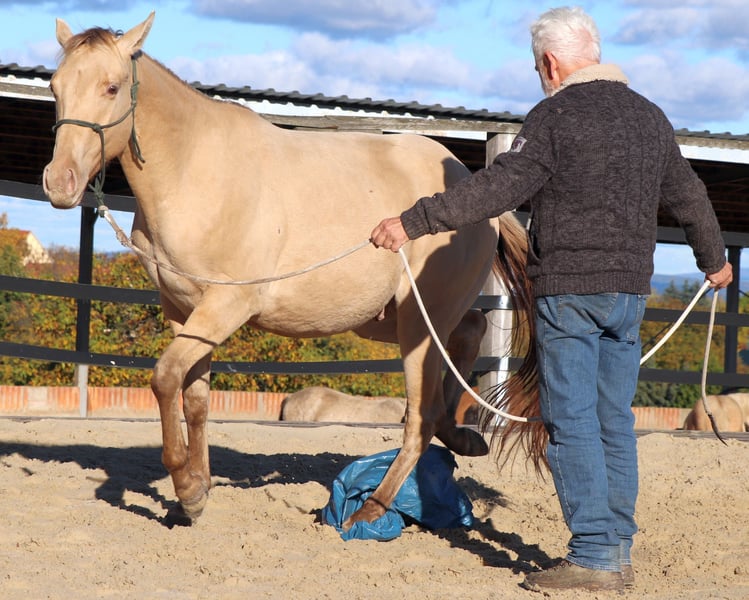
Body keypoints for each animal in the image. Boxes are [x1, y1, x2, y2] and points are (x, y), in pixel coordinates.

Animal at [42, 12, 537, 528]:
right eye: (56, 87)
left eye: (112, 87)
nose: (59, 183)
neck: (196, 172)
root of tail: (471, 184)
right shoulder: (183, 311)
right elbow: (194, 398)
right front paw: (196, 491)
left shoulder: (226, 306)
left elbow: (163, 378)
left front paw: (186, 485)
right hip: (392, 319)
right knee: (468, 337)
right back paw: (462, 438)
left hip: (419, 324)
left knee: (421, 416)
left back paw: (371, 510)